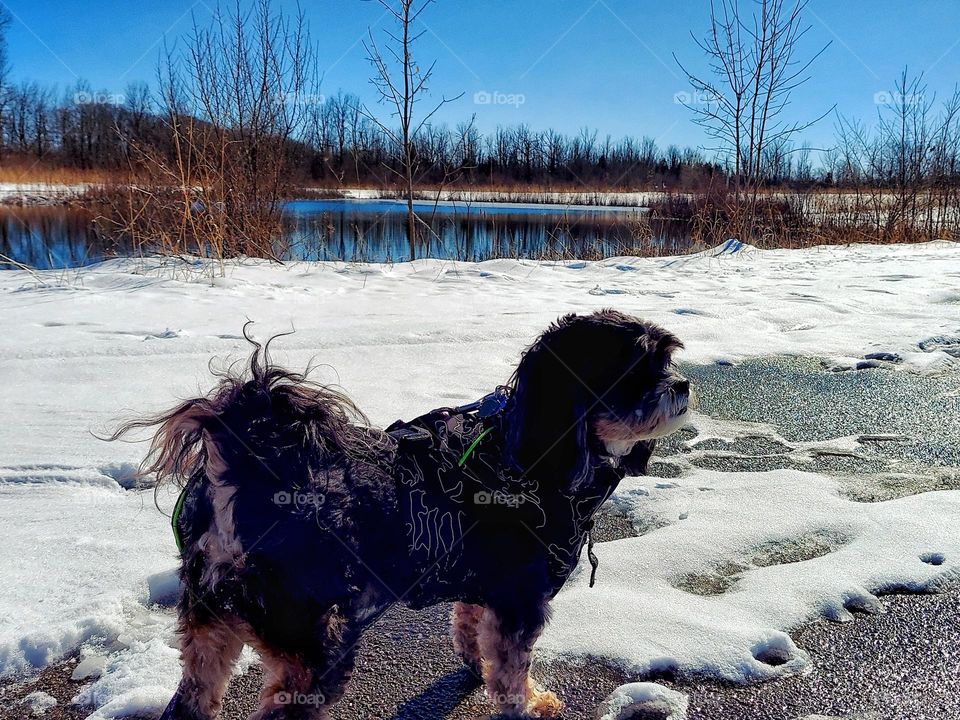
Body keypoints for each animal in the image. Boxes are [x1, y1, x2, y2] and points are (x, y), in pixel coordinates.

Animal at [120, 310, 688, 720]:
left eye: (667, 361)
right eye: (634, 370)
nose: (681, 386)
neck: (527, 456)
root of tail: (241, 466)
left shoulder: (478, 582)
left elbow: (470, 629)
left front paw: (475, 668)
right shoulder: (520, 601)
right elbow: (513, 673)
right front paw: (530, 704)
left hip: (210, 623)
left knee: (192, 698)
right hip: (316, 645)